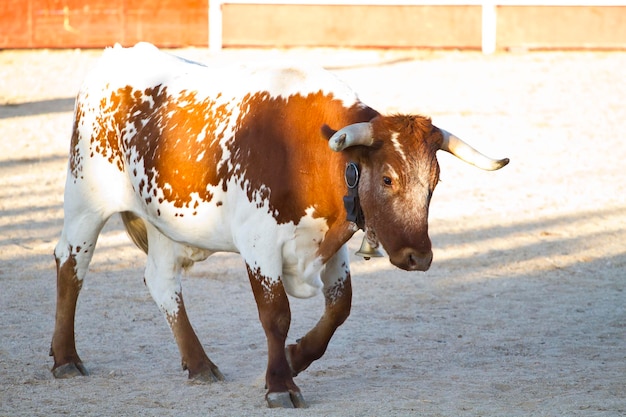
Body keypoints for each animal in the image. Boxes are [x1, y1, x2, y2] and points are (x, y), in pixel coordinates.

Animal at [50, 44, 508, 408]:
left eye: (435, 182)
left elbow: (339, 308)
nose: (419, 256)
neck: (310, 156)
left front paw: (295, 357)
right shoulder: (260, 244)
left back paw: (199, 364)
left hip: (164, 221)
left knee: (162, 282)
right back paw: (66, 358)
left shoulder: (331, 244)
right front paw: (280, 385)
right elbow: (275, 314)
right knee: (70, 267)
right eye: (388, 179)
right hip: (85, 200)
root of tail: (117, 56)